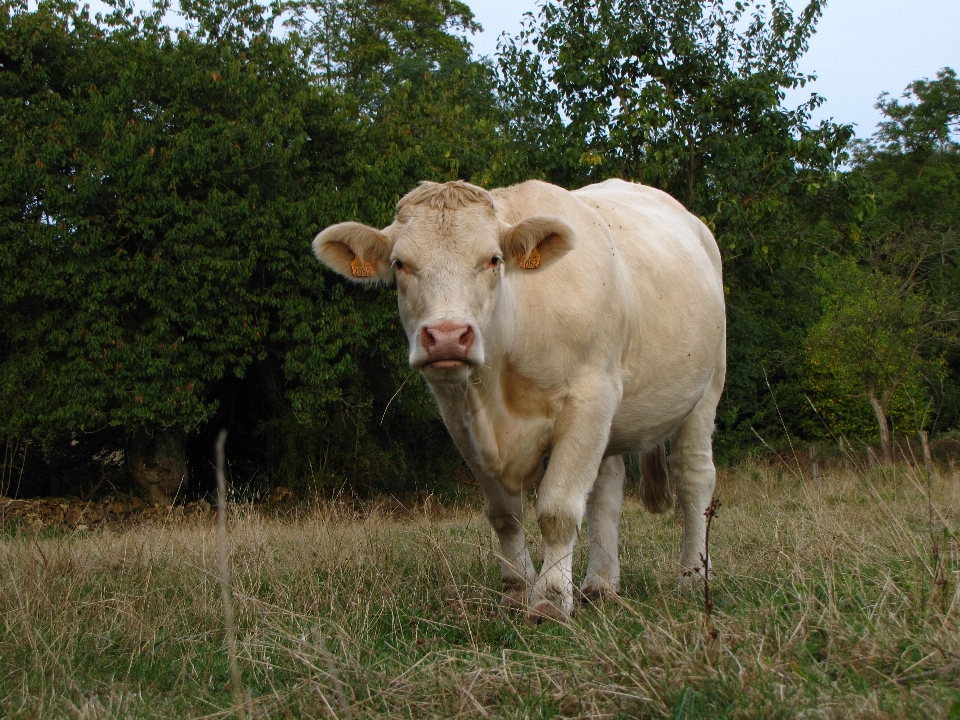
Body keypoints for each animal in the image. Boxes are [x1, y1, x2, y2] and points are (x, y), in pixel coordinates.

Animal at [316, 179, 728, 620]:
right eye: (399, 264)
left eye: (493, 259)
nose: (447, 336)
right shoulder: (459, 416)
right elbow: (505, 514)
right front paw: (515, 590)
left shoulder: (590, 398)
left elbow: (558, 509)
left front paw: (549, 598)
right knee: (606, 491)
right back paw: (601, 585)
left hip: (706, 387)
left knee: (694, 477)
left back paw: (692, 576)